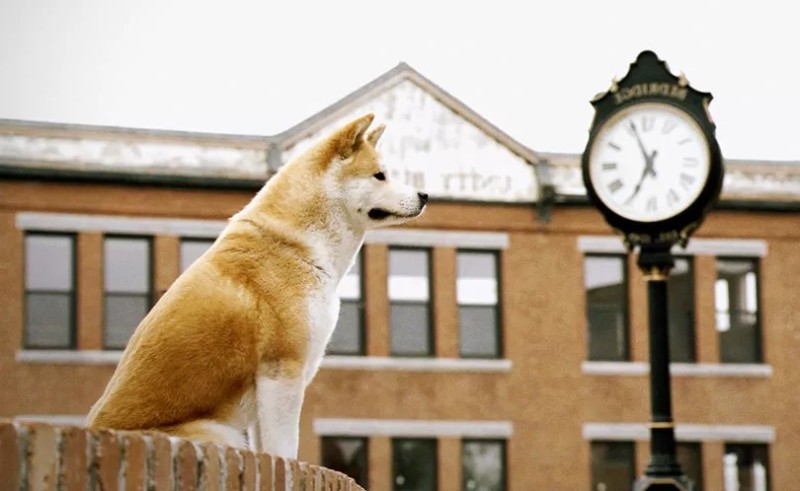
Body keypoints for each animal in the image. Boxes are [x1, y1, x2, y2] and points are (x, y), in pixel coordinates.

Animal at [86, 113, 432, 460]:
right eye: (379, 176)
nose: (425, 196)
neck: (297, 247)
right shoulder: (281, 371)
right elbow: (285, 450)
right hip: (222, 433)